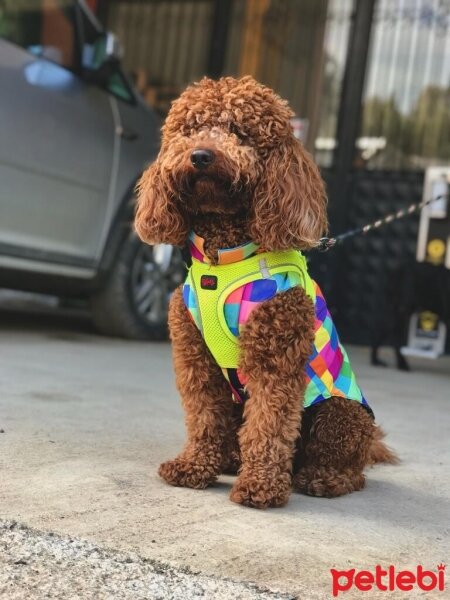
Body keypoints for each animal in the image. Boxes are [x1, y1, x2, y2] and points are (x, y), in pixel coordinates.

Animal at [134, 74, 398, 506]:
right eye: (189, 130)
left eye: (241, 132)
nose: (201, 155)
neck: (223, 258)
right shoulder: (195, 358)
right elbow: (204, 416)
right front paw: (195, 466)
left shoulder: (276, 358)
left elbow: (270, 425)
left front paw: (260, 486)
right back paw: (229, 459)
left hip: (339, 414)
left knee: (349, 470)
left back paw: (321, 477)